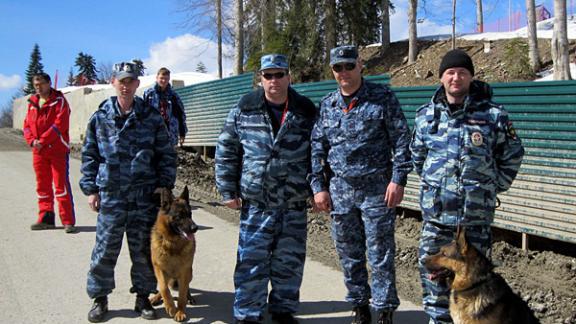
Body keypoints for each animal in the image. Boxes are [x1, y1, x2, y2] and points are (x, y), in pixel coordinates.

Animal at [151, 186, 198, 322]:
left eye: (190, 214)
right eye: (179, 216)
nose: (195, 228)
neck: (173, 244)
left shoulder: (185, 272)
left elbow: (182, 295)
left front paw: (180, 311)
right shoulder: (159, 268)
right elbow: (164, 288)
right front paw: (171, 307)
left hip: (190, 273)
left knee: (186, 288)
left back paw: (190, 297)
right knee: (165, 286)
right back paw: (155, 298)